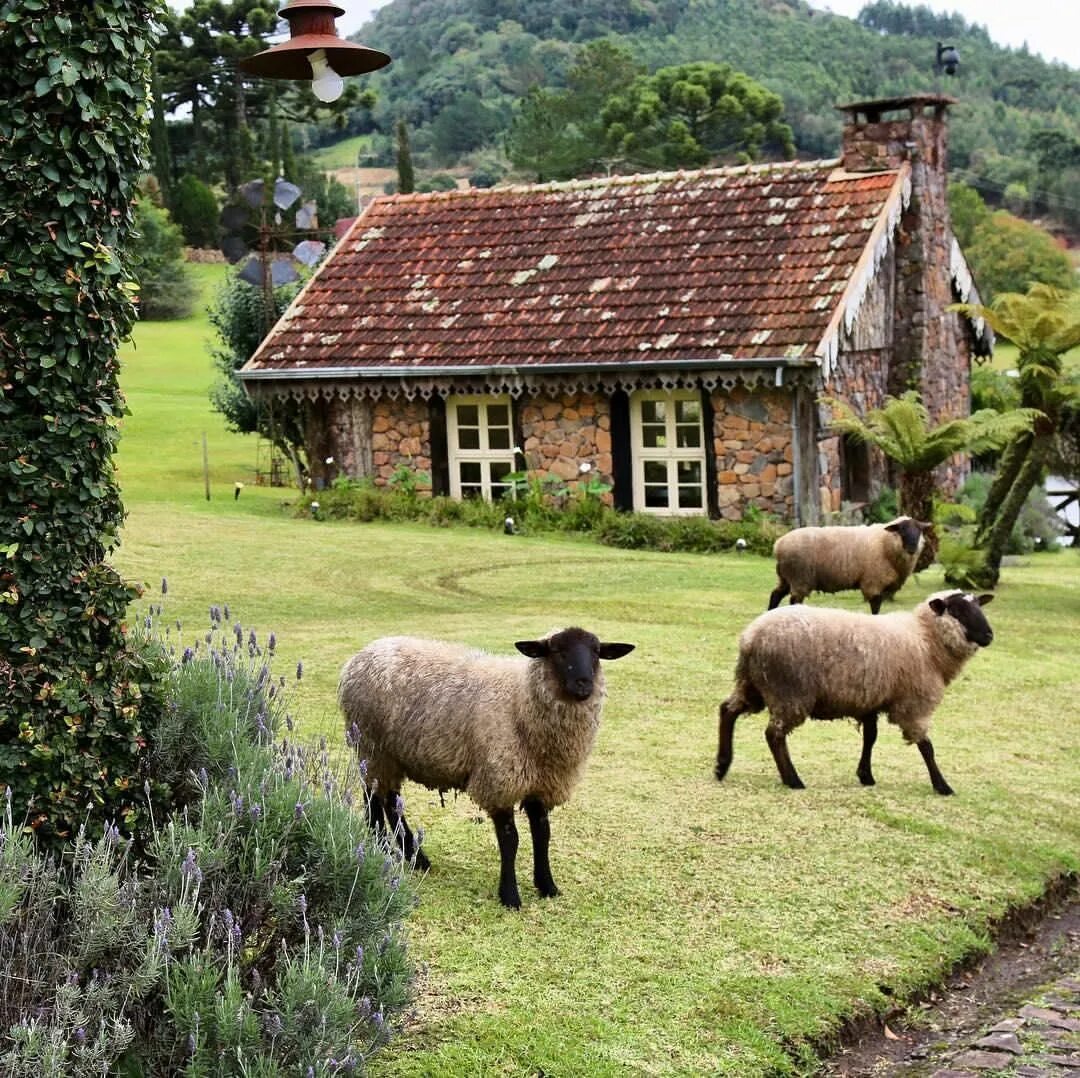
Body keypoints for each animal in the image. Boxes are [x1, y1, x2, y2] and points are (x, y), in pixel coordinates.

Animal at [336, 626, 630, 911]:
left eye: (596, 652)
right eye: (557, 651)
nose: (584, 684)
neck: (520, 700)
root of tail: (361, 655)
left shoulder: (541, 783)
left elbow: (542, 835)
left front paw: (547, 886)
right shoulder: (499, 779)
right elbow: (510, 841)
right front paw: (510, 896)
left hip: (389, 755)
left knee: (389, 800)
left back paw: (411, 855)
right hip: (373, 748)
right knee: (376, 797)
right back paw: (384, 846)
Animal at [717, 596, 993, 799]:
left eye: (979, 606)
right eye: (958, 610)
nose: (990, 636)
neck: (925, 639)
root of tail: (750, 637)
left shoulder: (870, 700)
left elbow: (870, 738)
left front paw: (865, 775)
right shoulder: (912, 704)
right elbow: (926, 747)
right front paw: (942, 785)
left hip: (753, 684)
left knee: (727, 710)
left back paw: (722, 765)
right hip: (789, 691)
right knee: (774, 734)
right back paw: (792, 780)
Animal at [768, 520, 928, 622]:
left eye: (919, 531)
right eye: (902, 531)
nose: (912, 548)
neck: (885, 544)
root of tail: (778, 545)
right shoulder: (873, 582)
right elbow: (875, 608)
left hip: (786, 577)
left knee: (776, 594)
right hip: (799, 578)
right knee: (793, 600)